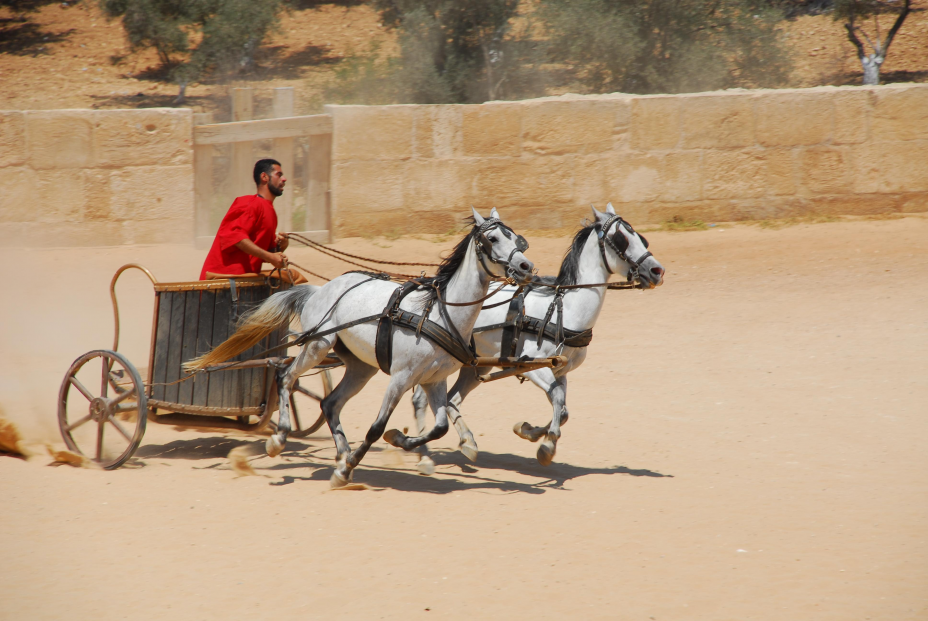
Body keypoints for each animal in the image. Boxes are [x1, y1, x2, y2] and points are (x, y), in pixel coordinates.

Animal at [188, 208, 532, 484]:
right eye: (493, 239)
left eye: (517, 238)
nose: (527, 267)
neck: (438, 314)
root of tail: (320, 289)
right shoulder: (401, 378)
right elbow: (376, 428)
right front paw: (349, 467)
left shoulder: (434, 380)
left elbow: (440, 427)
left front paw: (399, 441)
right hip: (317, 345)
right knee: (286, 378)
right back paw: (281, 439)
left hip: (360, 366)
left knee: (330, 404)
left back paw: (342, 453)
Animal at [412, 205, 660, 470]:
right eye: (621, 239)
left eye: (641, 237)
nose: (657, 270)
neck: (566, 310)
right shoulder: (533, 367)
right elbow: (558, 402)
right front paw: (546, 445)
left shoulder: (560, 371)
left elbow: (563, 409)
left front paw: (528, 430)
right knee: (422, 399)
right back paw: (424, 456)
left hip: (475, 367)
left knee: (451, 400)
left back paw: (466, 443)